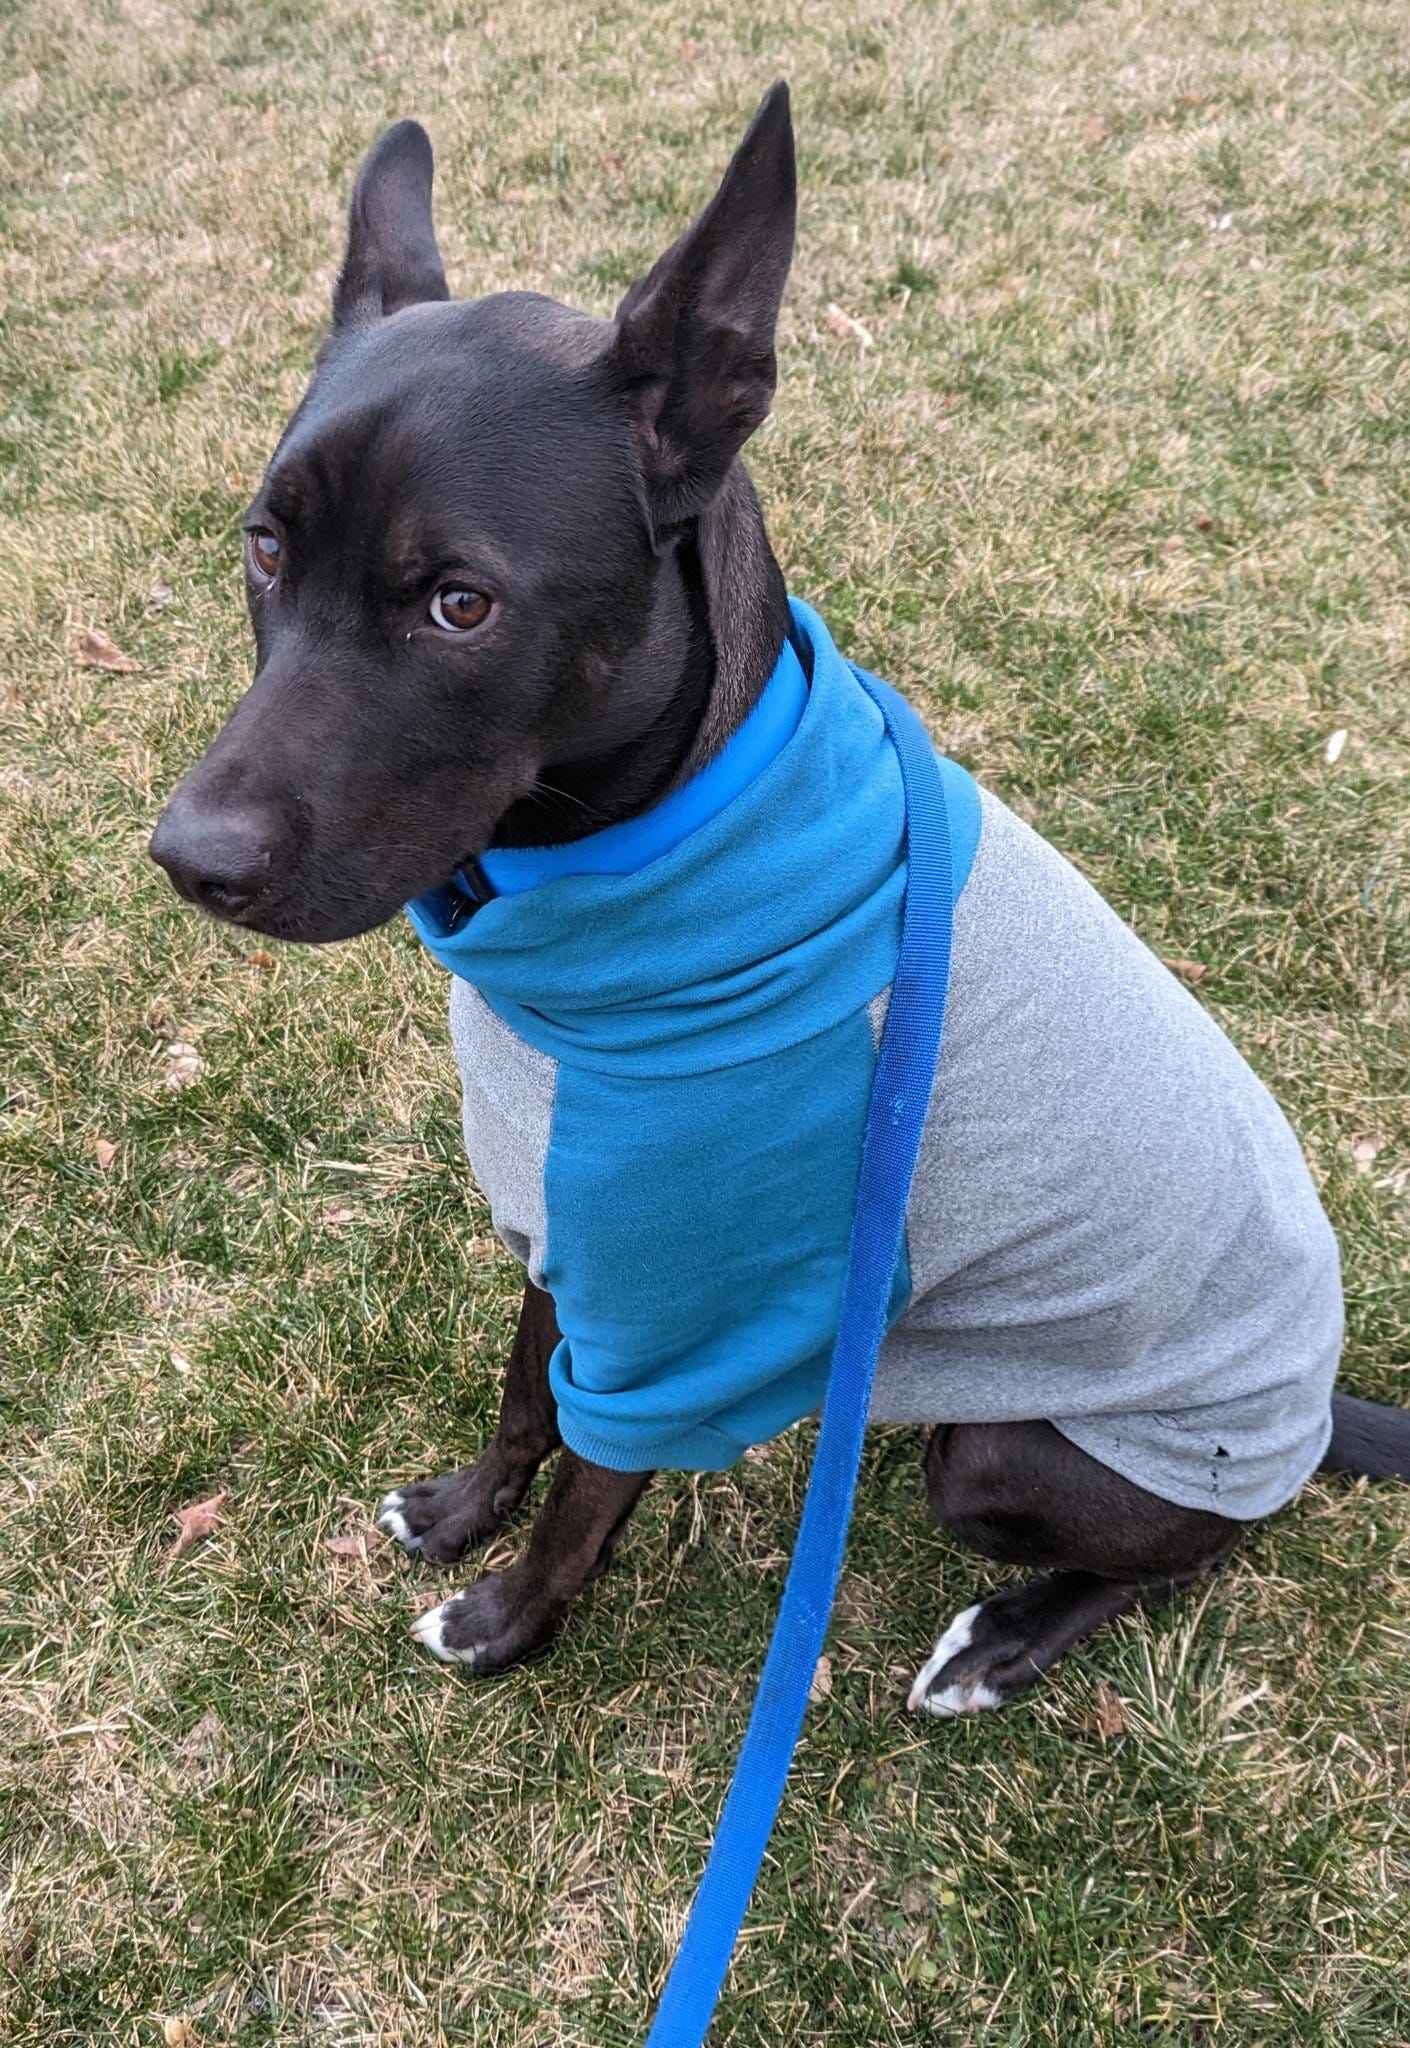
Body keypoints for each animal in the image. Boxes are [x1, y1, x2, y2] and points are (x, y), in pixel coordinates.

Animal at [153, 83, 1410, 1712]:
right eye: (263, 547)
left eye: (459, 604)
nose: (190, 858)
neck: (646, 867)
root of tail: (1314, 1405)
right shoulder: (570, 1221)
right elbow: (526, 1394)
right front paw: (456, 1510)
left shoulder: (683, 1320)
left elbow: (589, 1487)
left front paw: (504, 1623)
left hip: (1007, 1456)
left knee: (1202, 1546)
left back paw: (1004, 1640)